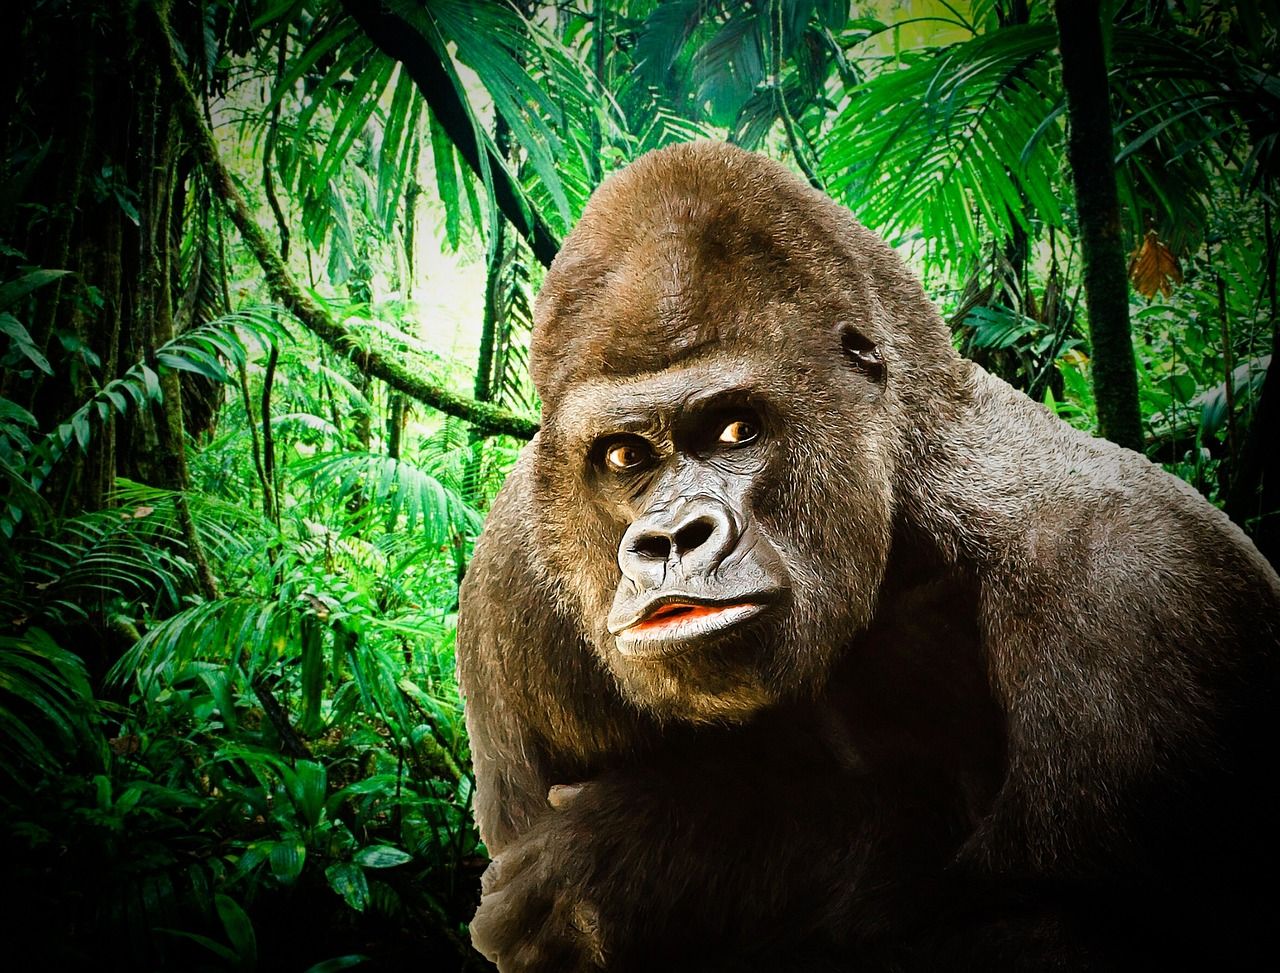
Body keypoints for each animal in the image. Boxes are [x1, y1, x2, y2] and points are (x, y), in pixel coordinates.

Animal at [456, 141, 1279, 971]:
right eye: (625, 455)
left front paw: (650, 858)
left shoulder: (1135, 585)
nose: (672, 540)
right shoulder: (509, 582)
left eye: (735, 430)